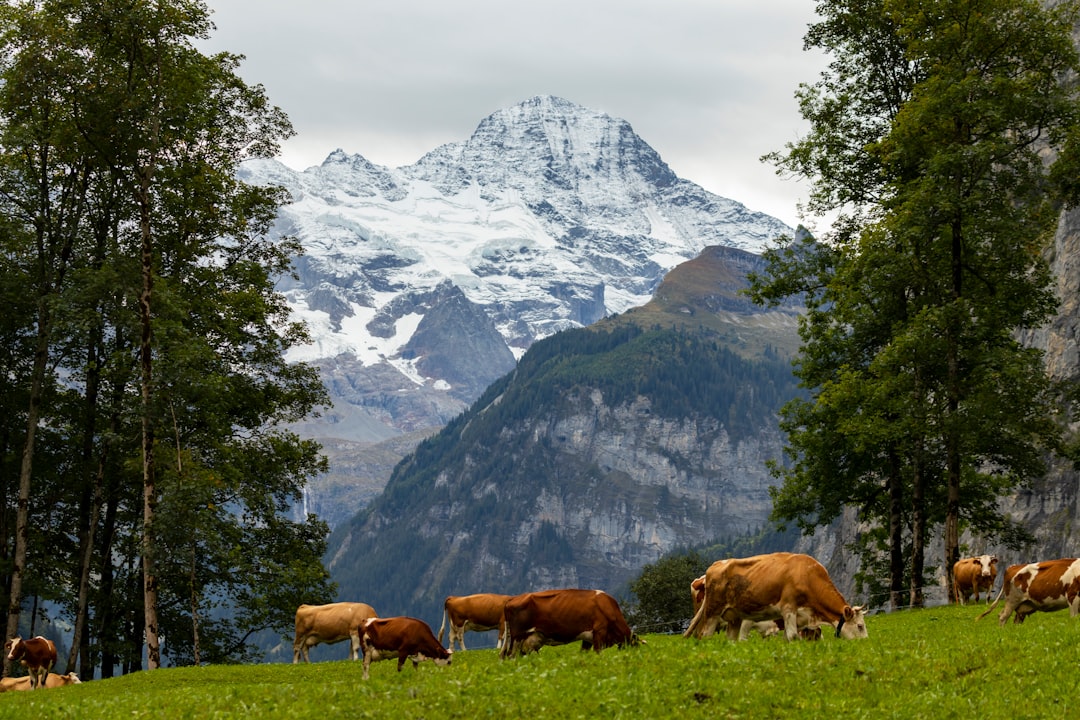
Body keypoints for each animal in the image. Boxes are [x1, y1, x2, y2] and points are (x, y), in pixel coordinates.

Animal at [498, 587, 635, 660]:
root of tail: (512, 599)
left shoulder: (588, 638)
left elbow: (583, 653)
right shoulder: (599, 632)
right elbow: (598, 653)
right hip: (517, 637)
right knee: (510, 655)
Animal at [682, 552, 868, 643]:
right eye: (860, 626)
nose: (865, 644)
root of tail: (715, 565)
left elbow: (787, 637)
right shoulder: (788, 608)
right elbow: (792, 636)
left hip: (734, 617)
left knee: (731, 640)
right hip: (712, 613)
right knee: (704, 635)